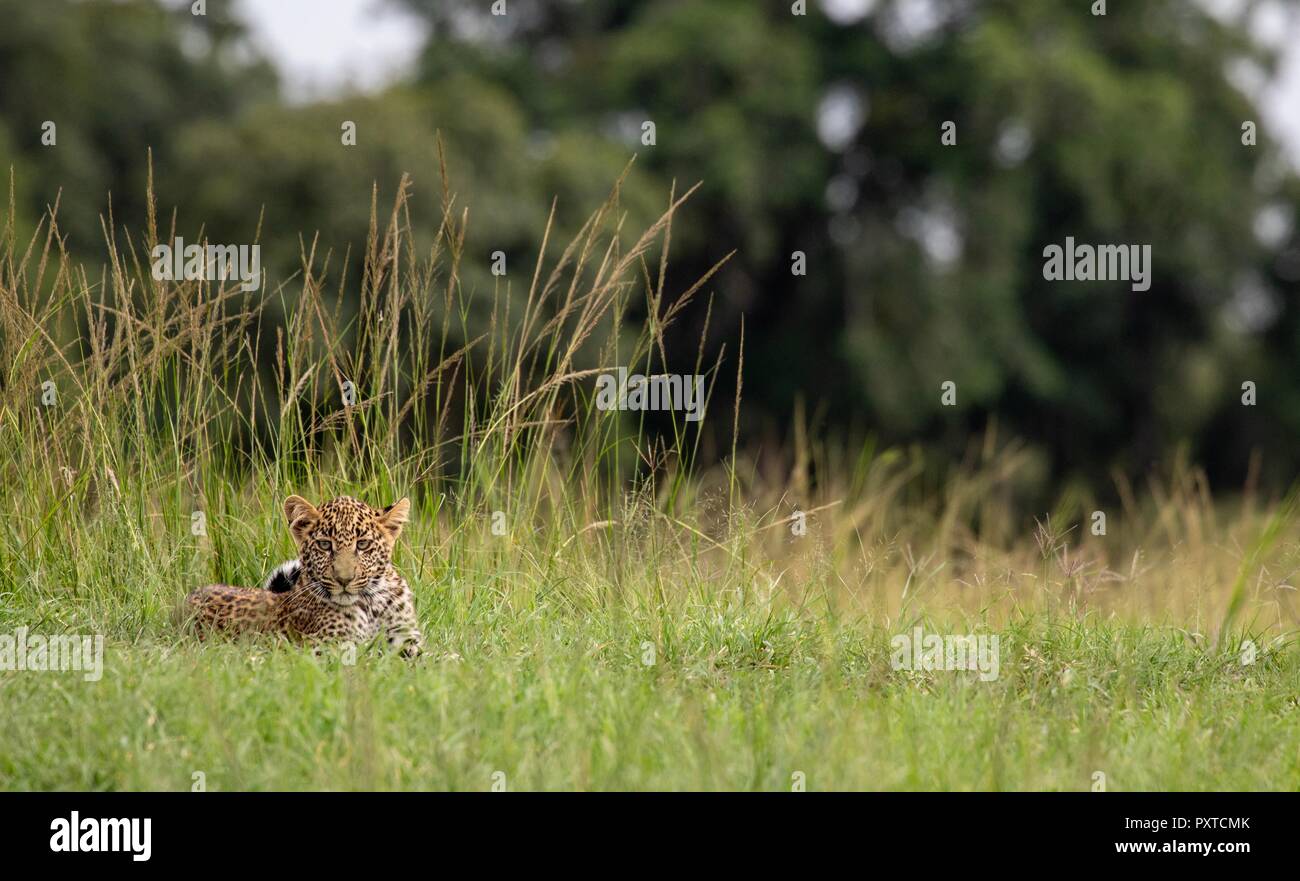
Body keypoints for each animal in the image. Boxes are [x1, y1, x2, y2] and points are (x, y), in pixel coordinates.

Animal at [182, 493, 421, 660]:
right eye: (324, 545)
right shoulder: (328, 648)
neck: (372, 607)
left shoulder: (408, 639)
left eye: (363, 545)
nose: (344, 580)